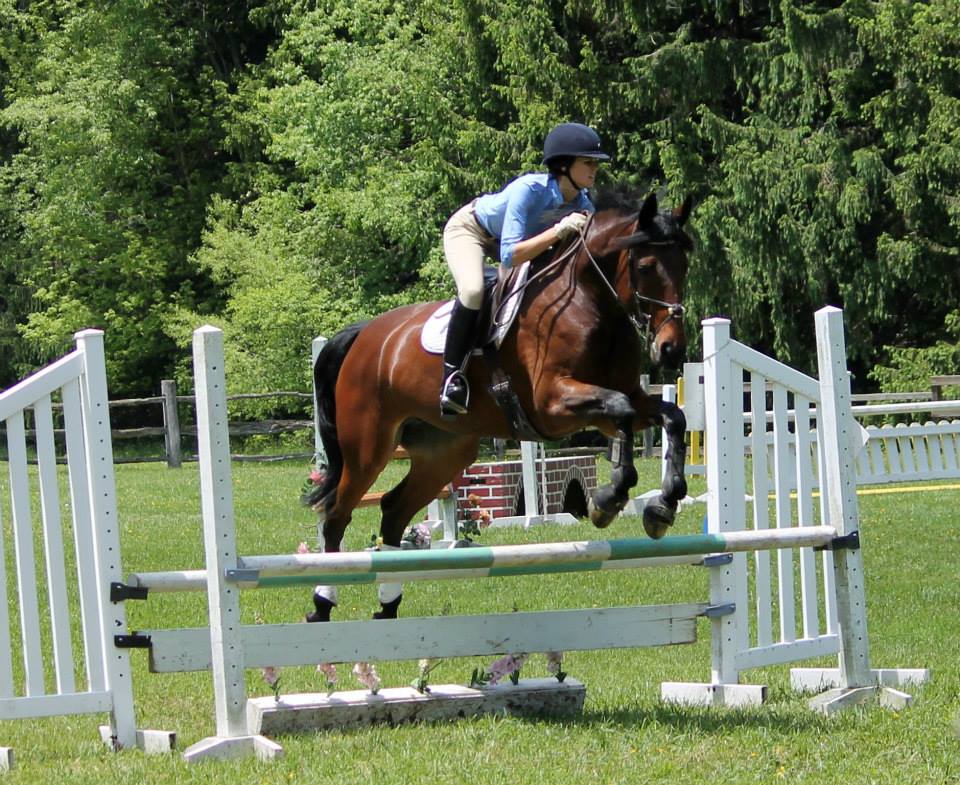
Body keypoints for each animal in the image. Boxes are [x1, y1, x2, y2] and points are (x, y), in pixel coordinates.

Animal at [303, 189, 692, 620]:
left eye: (685, 265)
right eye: (646, 266)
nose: (671, 349)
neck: (590, 301)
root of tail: (364, 335)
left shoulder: (617, 403)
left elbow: (670, 416)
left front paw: (663, 506)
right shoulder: (552, 405)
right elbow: (621, 409)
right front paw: (607, 500)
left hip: (444, 452)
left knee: (393, 510)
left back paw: (388, 608)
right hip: (368, 448)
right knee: (336, 515)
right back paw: (322, 605)